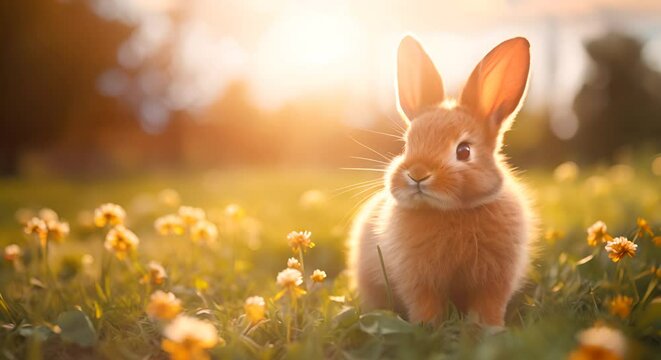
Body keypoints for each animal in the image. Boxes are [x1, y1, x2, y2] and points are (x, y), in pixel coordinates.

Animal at [348, 35, 532, 326]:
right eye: (406, 145)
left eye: (464, 151)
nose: (417, 174)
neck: (451, 211)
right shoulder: (419, 280)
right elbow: (425, 305)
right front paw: (428, 327)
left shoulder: (495, 280)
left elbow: (489, 306)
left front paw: (488, 328)